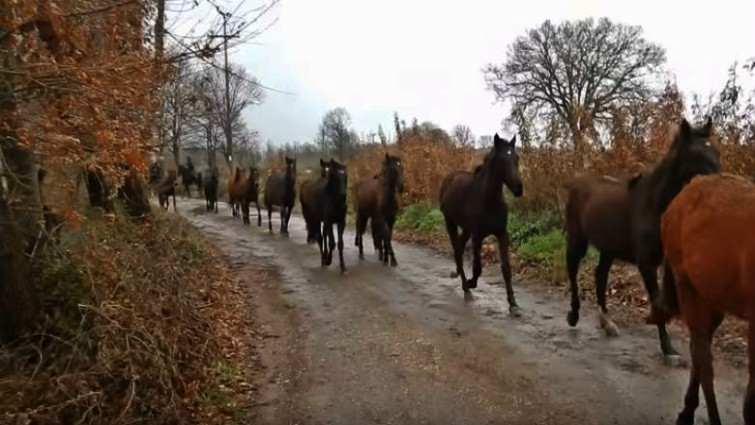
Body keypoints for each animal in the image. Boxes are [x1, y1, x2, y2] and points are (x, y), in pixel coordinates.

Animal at [440, 132, 524, 314]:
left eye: (516, 157)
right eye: (502, 159)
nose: (518, 189)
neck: (489, 200)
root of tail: (449, 178)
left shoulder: (502, 234)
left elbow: (506, 269)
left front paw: (513, 304)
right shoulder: (478, 236)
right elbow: (478, 267)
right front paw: (471, 283)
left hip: (466, 228)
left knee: (459, 247)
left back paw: (457, 274)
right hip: (451, 223)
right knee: (457, 251)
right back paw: (466, 289)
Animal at [560, 117, 720, 362]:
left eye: (717, 153)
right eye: (697, 155)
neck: (654, 206)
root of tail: (576, 183)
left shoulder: (665, 263)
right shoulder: (646, 264)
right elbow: (656, 300)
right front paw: (667, 348)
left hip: (608, 249)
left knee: (600, 277)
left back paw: (606, 323)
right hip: (578, 240)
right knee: (573, 272)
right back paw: (574, 315)